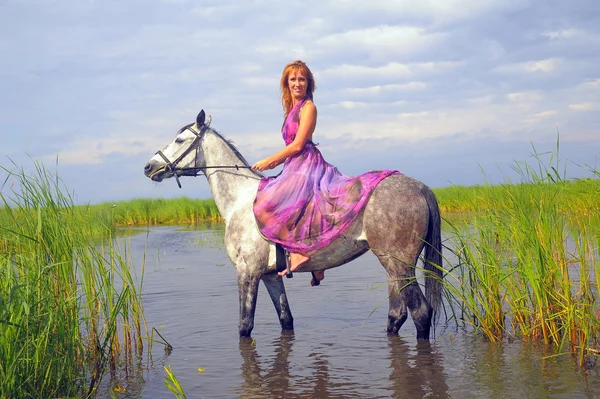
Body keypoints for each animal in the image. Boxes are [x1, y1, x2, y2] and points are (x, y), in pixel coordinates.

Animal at [144, 110, 446, 340]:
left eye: (179, 139)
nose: (149, 167)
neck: (240, 200)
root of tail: (420, 187)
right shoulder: (269, 276)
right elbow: (286, 320)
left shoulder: (246, 273)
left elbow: (245, 326)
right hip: (392, 266)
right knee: (397, 315)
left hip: (399, 264)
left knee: (421, 313)